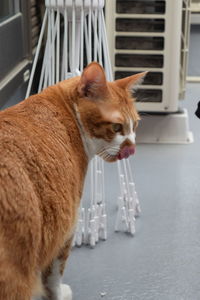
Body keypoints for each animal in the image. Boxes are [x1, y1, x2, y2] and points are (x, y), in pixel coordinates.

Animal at [0, 62, 145, 298]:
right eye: (116, 127)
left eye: (135, 125)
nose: (131, 148)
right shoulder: (65, 229)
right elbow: (53, 278)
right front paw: (59, 294)